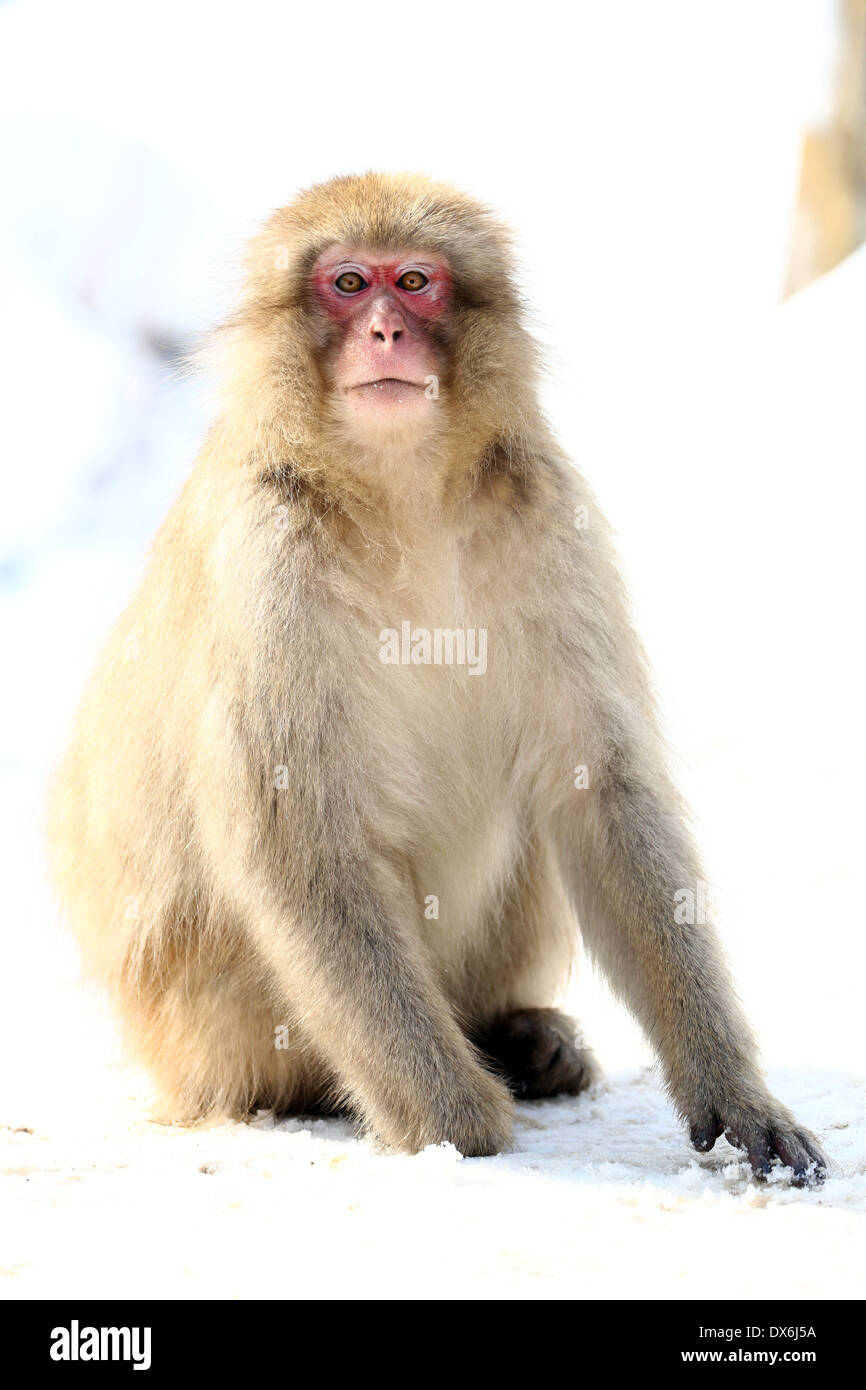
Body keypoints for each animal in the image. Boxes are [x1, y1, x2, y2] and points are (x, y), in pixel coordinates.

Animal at [47, 173, 828, 1184]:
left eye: (414, 281)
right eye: (348, 282)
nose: (385, 329)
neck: (399, 490)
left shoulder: (546, 510)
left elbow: (603, 791)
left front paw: (734, 1100)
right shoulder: (265, 551)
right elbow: (295, 837)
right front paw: (455, 1121)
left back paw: (522, 1038)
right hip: (209, 1023)